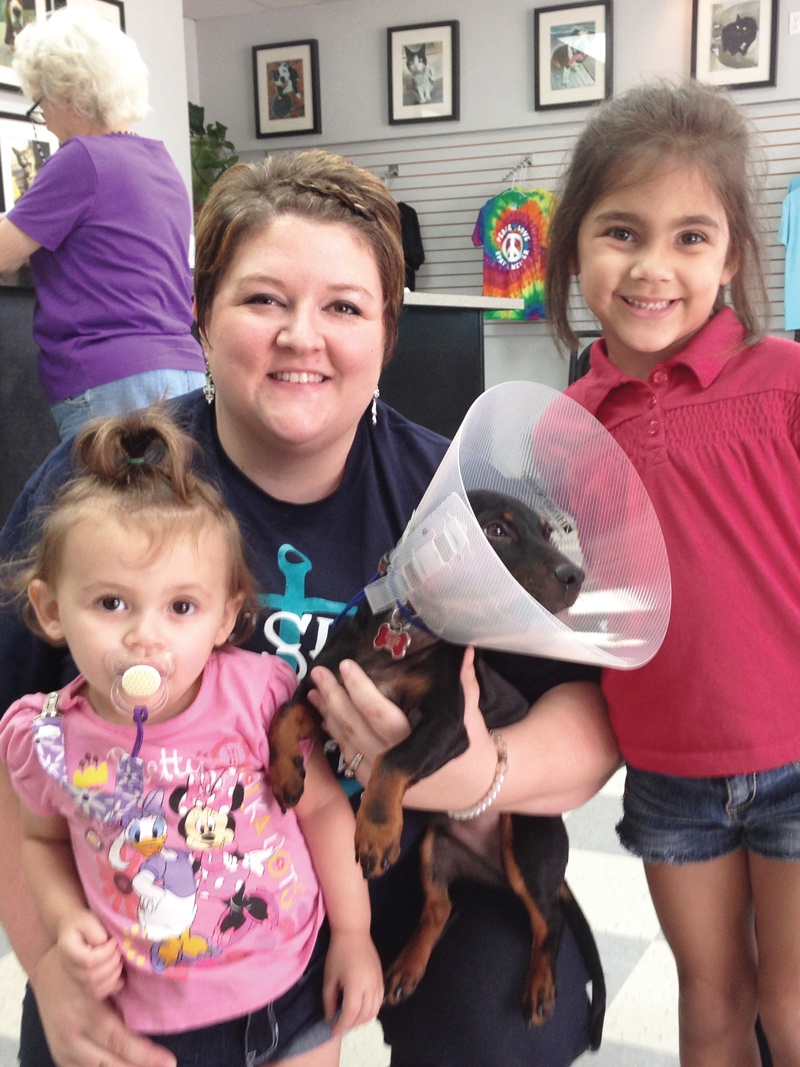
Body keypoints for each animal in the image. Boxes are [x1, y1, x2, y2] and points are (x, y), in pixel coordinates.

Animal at [267, 488, 601, 1032]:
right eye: (496, 531)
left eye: (550, 533)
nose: (576, 575)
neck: (405, 634)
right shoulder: (323, 690)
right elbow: (281, 717)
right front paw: (284, 775)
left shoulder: (448, 725)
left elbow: (392, 760)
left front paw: (374, 830)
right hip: (433, 849)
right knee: (441, 909)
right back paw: (406, 968)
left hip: (527, 846)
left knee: (548, 921)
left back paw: (539, 987)